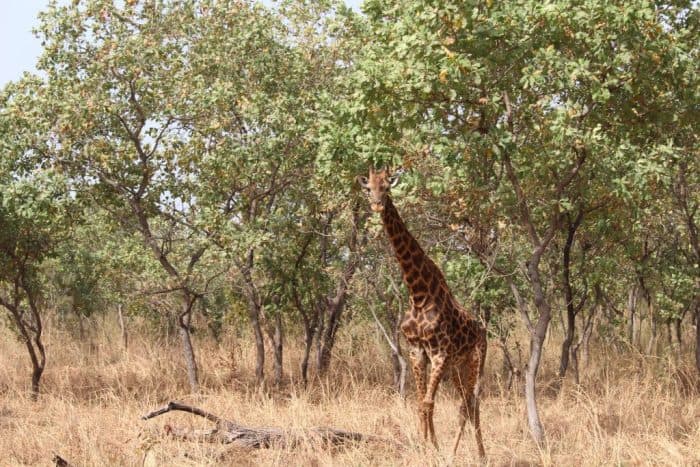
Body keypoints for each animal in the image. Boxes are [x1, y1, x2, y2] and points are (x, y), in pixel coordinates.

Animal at [357, 167, 487, 459]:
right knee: (469, 404)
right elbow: (420, 402)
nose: (377, 205)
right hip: (458, 367)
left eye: (387, 187)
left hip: (475, 360)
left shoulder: (439, 352)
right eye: (368, 188)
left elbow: (428, 402)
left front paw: (433, 450)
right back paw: (476, 454)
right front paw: (425, 446)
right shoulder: (417, 351)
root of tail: (484, 330)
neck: (418, 294)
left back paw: (464, 454)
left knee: (469, 404)